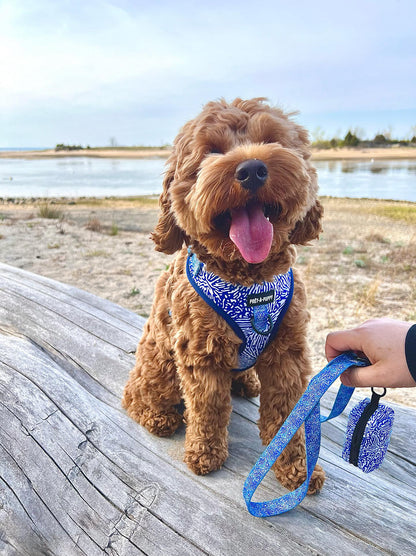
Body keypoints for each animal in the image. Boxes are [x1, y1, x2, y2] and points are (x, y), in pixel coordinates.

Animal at [122, 97, 324, 494]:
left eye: (272, 139)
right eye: (211, 151)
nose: (252, 170)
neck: (249, 281)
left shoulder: (288, 354)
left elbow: (287, 416)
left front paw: (297, 468)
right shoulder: (201, 353)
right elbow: (209, 407)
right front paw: (206, 454)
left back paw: (246, 382)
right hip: (159, 365)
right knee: (136, 395)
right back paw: (156, 417)